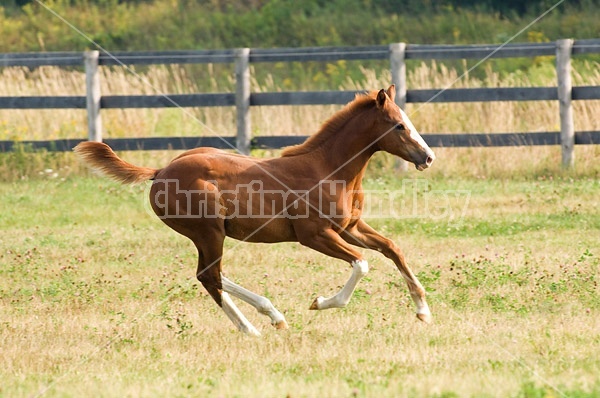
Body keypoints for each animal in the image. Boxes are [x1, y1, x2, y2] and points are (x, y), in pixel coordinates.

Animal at [76, 85, 436, 334]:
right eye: (399, 126)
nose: (428, 157)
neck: (329, 170)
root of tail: (161, 171)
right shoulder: (315, 235)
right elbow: (362, 264)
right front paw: (320, 303)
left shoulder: (351, 227)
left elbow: (392, 248)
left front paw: (423, 310)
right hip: (208, 231)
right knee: (209, 275)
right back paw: (254, 327)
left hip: (209, 235)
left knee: (213, 274)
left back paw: (269, 315)